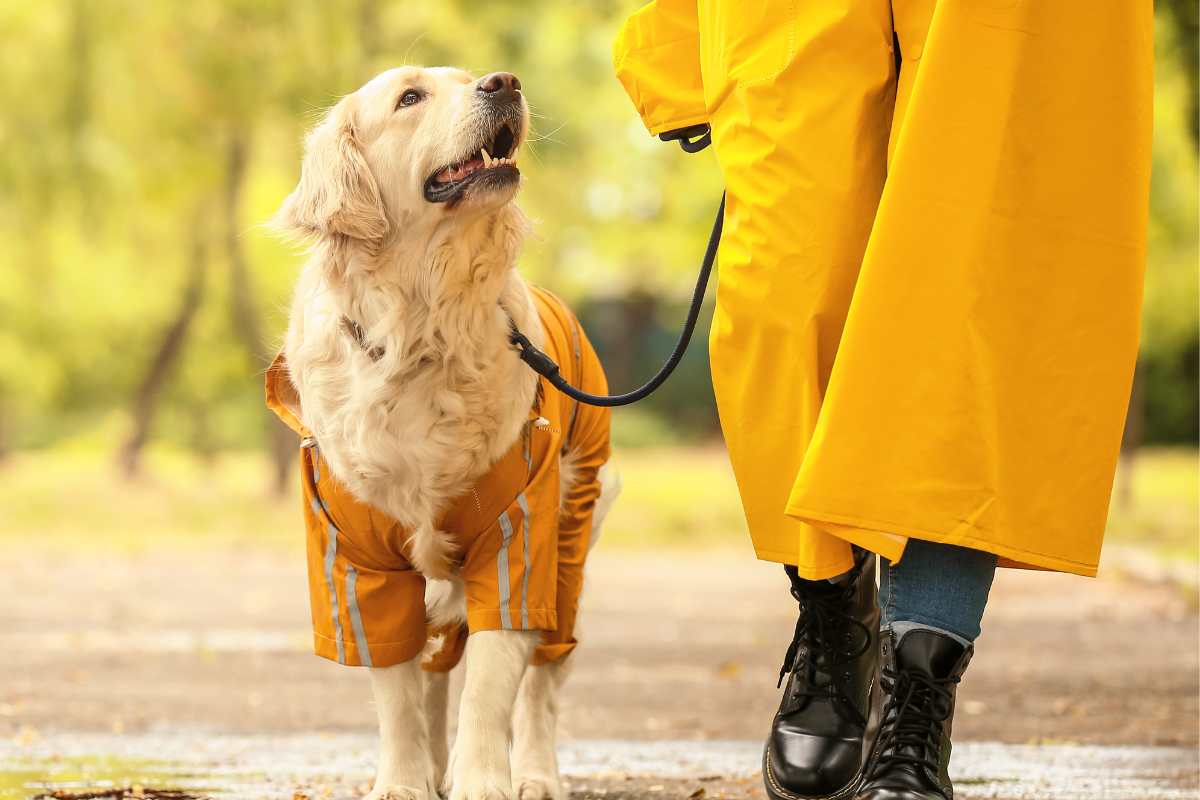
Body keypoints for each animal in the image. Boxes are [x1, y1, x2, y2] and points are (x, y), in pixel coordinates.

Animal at [267, 67, 614, 800]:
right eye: (409, 97)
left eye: (470, 76)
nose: (504, 81)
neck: (420, 330)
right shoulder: (357, 557)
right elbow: (397, 694)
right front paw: (404, 781)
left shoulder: (518, 535)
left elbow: (490, 685)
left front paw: (483, 780)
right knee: (430, 670)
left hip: (572, 539)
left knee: (544, 677)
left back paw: (534, 773)